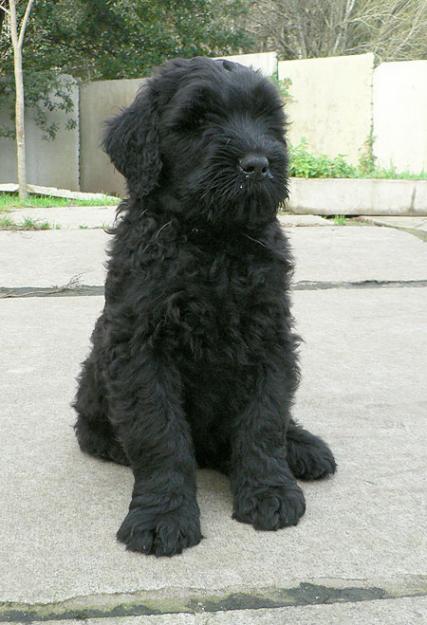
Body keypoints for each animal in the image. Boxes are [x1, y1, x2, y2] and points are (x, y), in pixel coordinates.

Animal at [73, 57, 336, 556]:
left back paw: (301, 446)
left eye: (268, 121)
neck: (215, 241)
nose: (258, 165)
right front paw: (163, 514)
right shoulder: (141, 350)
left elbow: (264, 420)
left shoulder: (270, 337)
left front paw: (269, 490)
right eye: (196, 122)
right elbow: (160, 434)